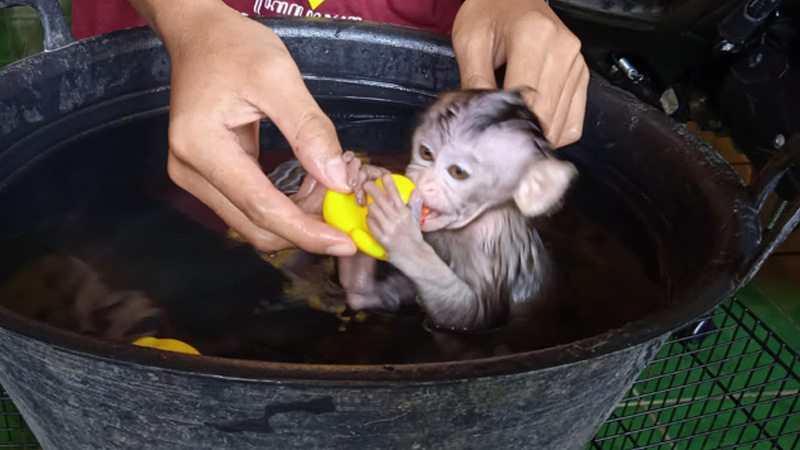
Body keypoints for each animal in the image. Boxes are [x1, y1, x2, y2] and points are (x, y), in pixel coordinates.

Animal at [336, 90, 576, 330]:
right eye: (426, 153)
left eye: (457, 172)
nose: (423, 181)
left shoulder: (488, 237)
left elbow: (476, 314)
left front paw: (403, 237)